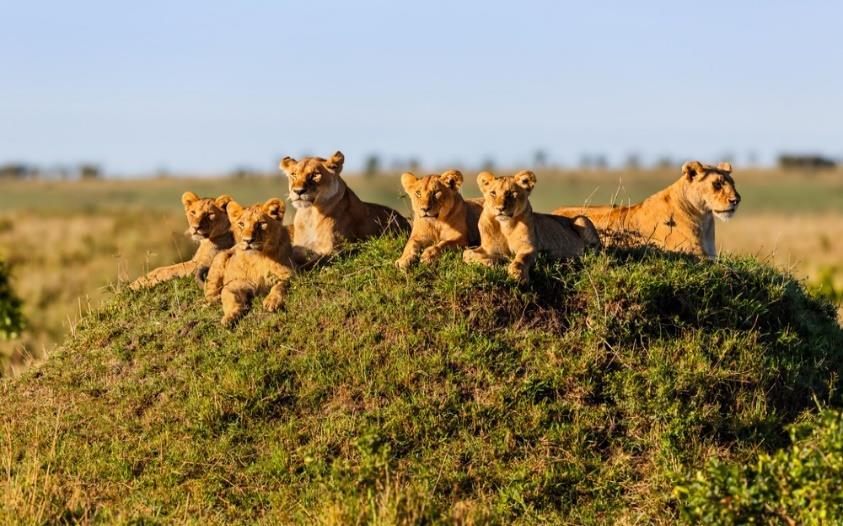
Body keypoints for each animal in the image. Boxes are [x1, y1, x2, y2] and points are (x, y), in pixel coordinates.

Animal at [203, 198, 296, 328]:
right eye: (241, 224)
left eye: (260, 224)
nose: (248, 240)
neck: (257, 258)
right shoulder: (234, 284)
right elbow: (229, 298)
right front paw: (230, 316)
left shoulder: (288, 275)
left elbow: (279, 286)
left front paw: (271, 301)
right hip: (220, 257)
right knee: (210, 292)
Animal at [278, 151, 410, 266]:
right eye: (294, 174)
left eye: (315, 174)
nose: (298, 191)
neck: (309, 215)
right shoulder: (299, 249)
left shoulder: (337, 250)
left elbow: (312, 263)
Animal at [462, 171, 600, 284]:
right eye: (493, 193)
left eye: (511, 193)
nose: (500, 208)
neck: (505, 226)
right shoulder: (487, 248)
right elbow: (467, 253)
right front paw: (490, 262)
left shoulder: (529, 247)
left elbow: (520, 260)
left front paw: (518, 275)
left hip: (581, 219)